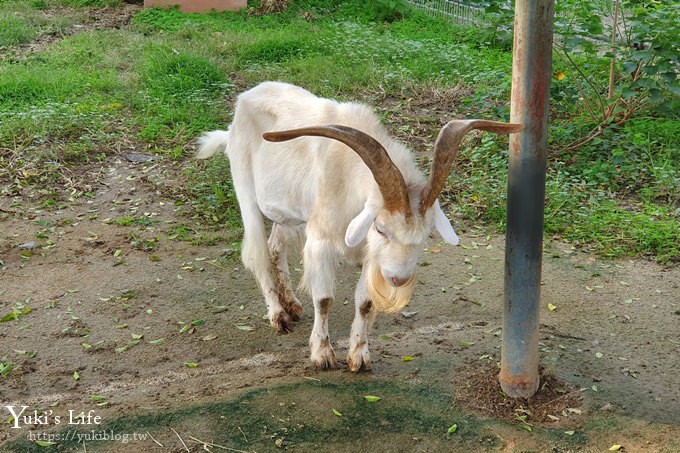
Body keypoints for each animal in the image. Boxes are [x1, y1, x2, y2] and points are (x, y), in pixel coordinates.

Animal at [197, 82, 520, 370]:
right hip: (245, 188)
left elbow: (364, 302)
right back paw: (279, 316)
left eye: (426, 235)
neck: (347, 176)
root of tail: (245, 100)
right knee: (258, 253)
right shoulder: (321, 242)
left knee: (276, 245)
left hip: (288, 212)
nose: (399, 279)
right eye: (380, 228)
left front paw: (359, 357)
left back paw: (292, 304)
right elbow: (324, 299)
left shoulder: (371, 254)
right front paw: (322, 355)